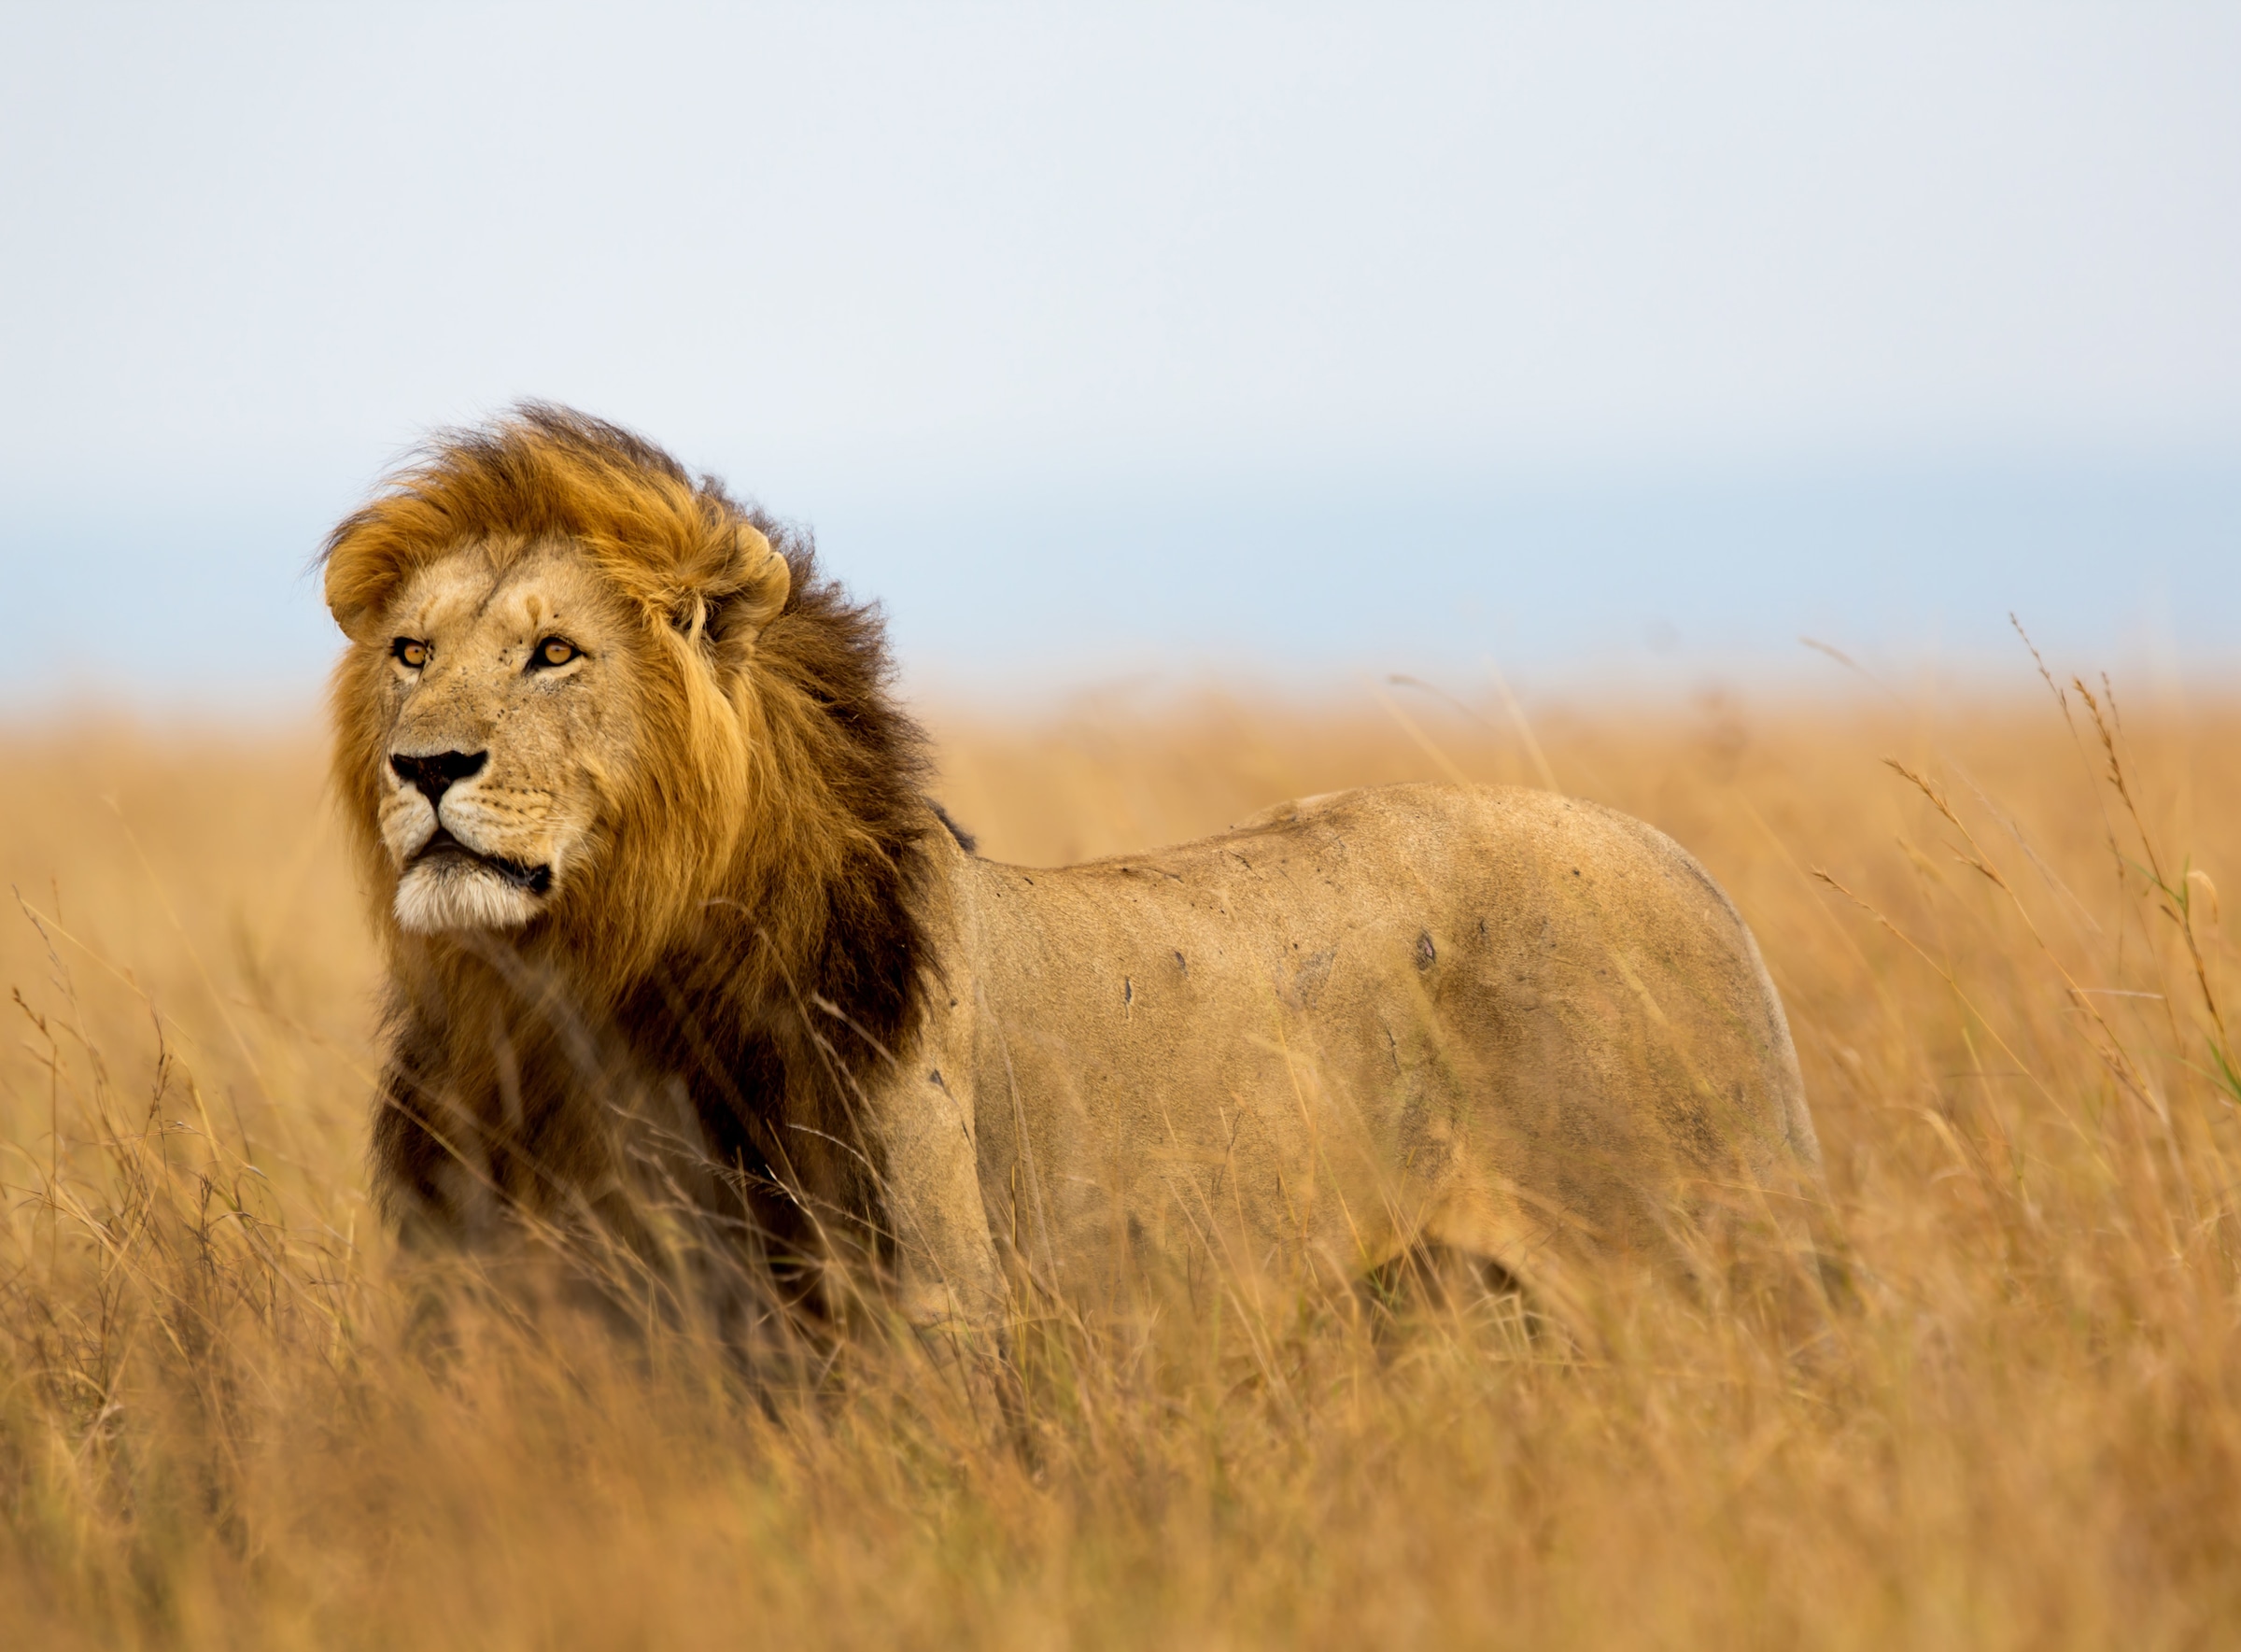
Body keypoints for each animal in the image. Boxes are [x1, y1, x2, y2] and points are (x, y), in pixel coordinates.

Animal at [320, 403, 1819, 1353]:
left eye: (553, 653)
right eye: (411, 652)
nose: (425, 765)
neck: (575, 994)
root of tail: (1692, 869)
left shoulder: (921, 1320)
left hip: (1707, 1277)